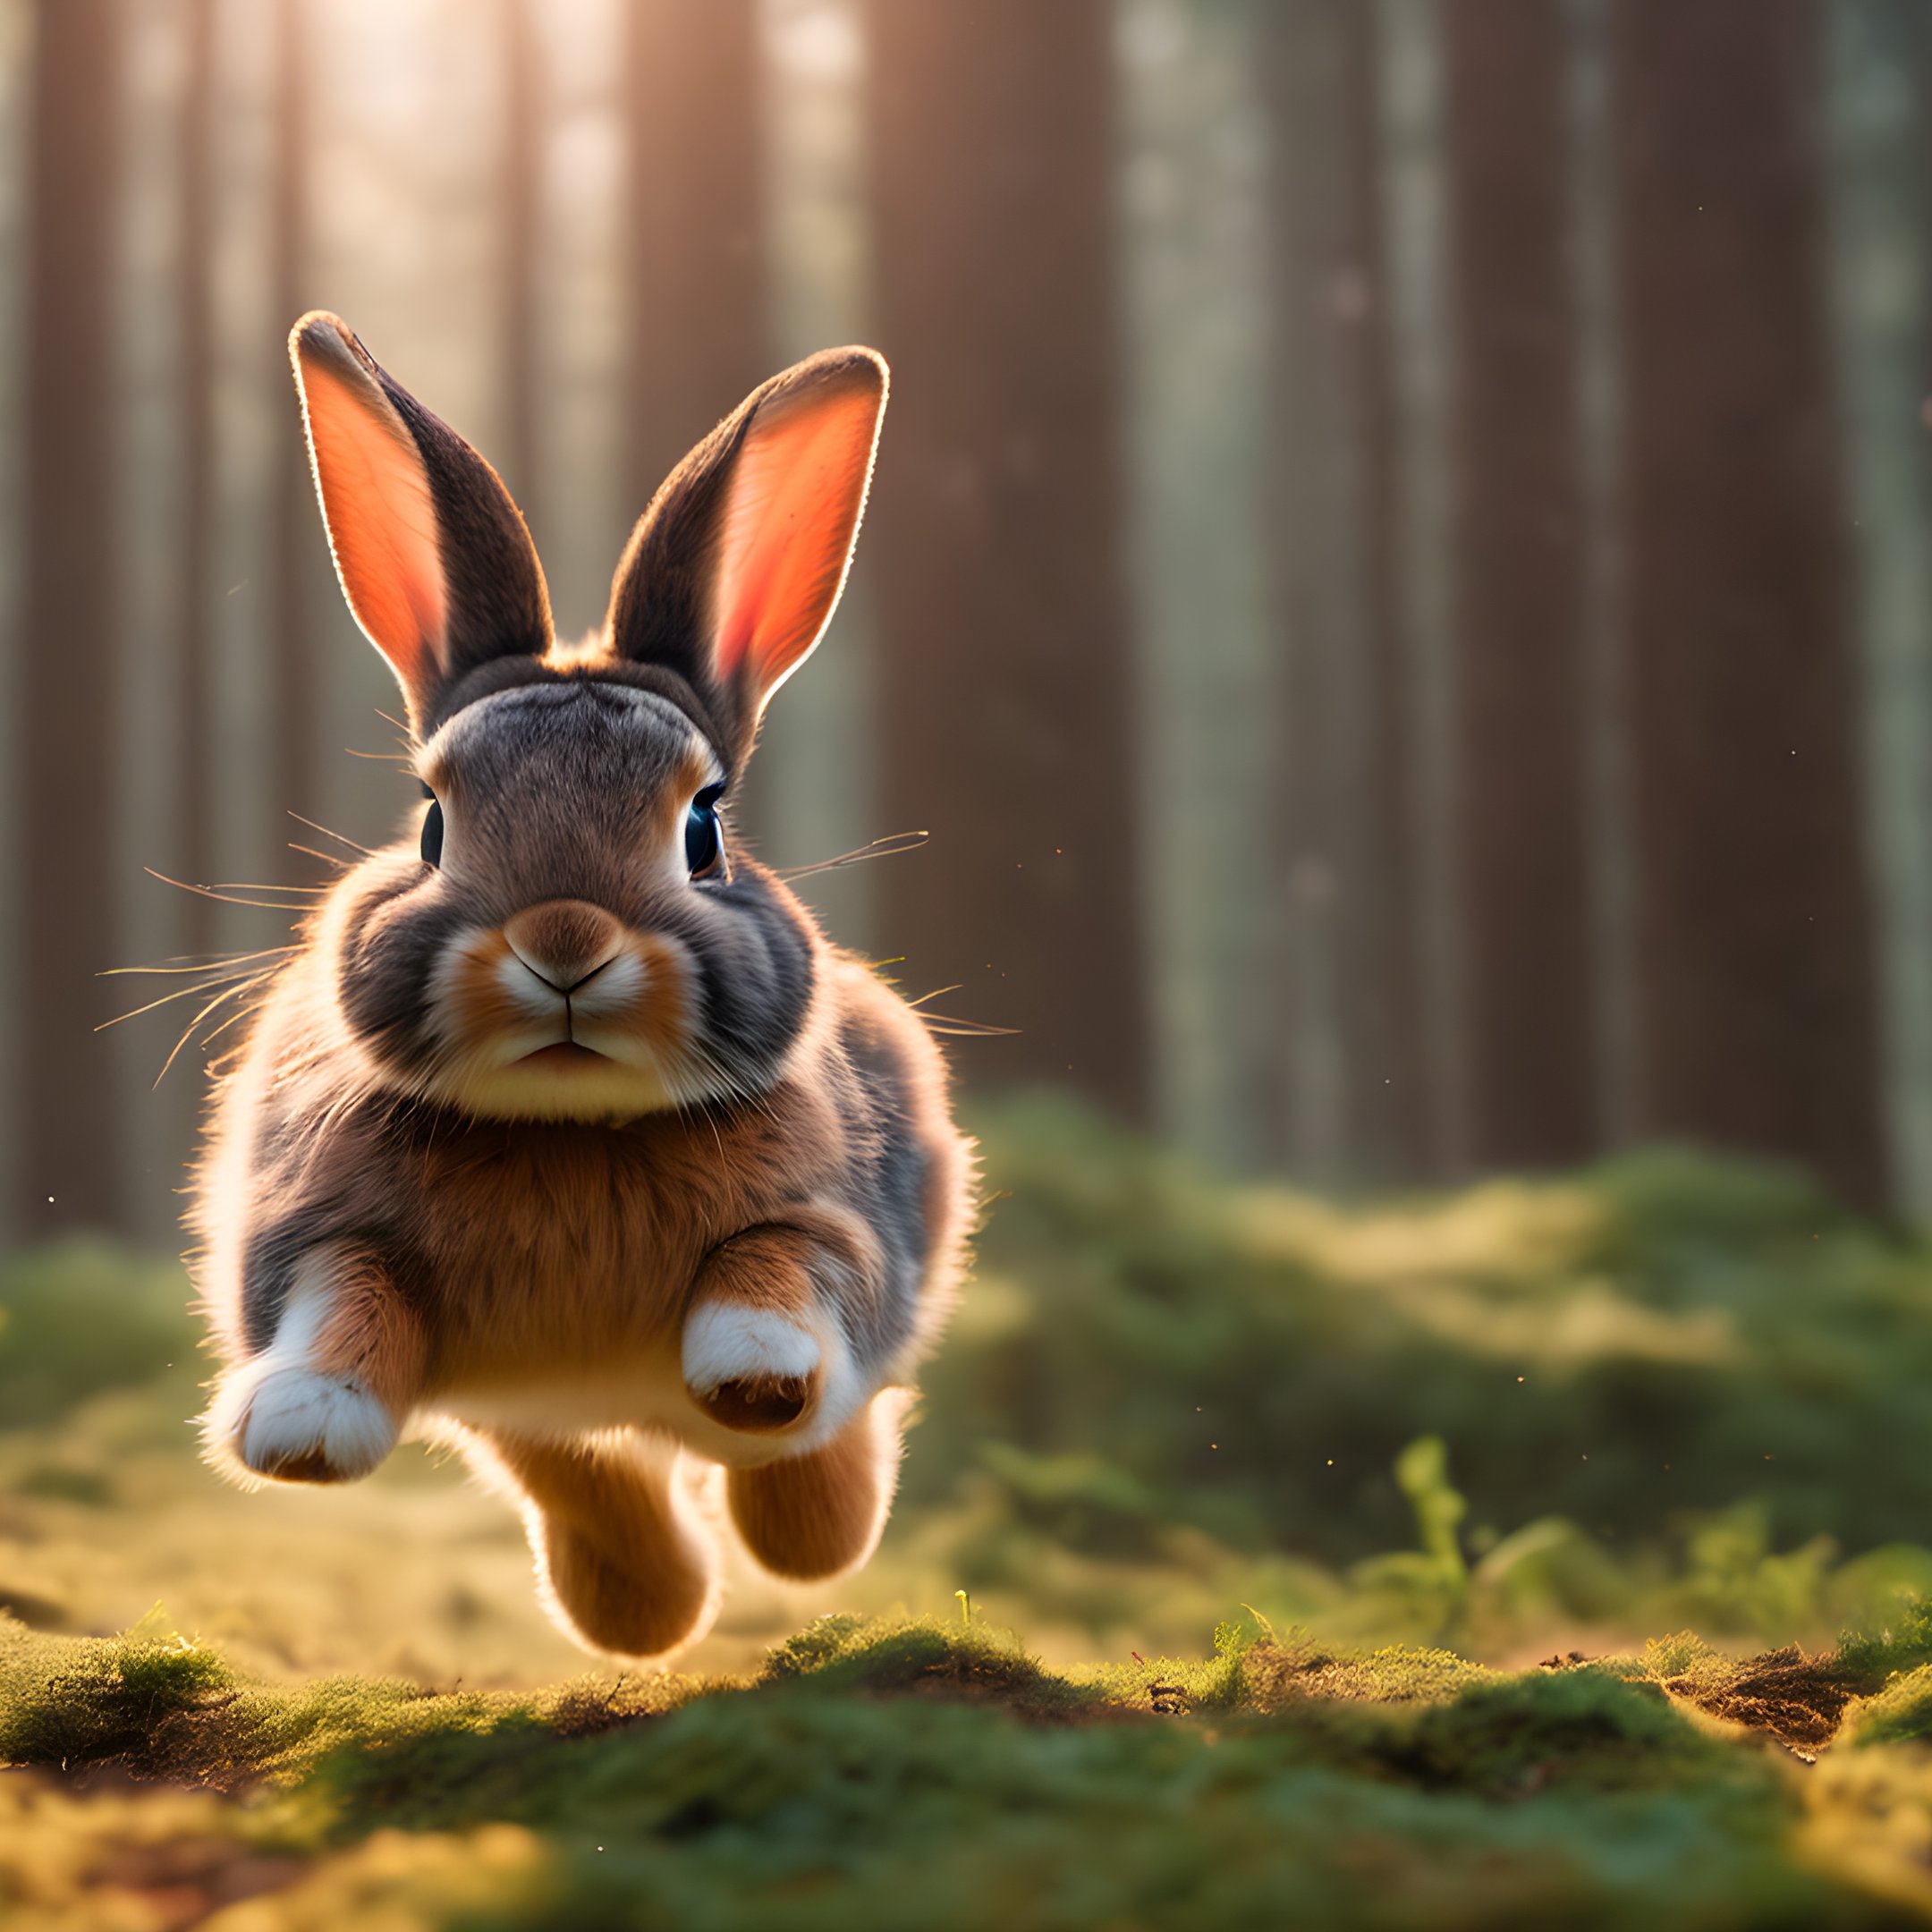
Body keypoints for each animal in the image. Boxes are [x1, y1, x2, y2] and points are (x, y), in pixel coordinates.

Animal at [189, 311, 975, 1661]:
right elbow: (346, 1296)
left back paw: (798, 1533)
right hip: (531, 1422)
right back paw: (649, 1617)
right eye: (431, 823)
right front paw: (302, 1426)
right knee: (577, 1468)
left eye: (704, 830)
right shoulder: (306, 1235)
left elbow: (783, 1270)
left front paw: (757, 1368)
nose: (563, 942)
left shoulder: (844, 1222)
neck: (570, 1129)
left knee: (811, 1461)